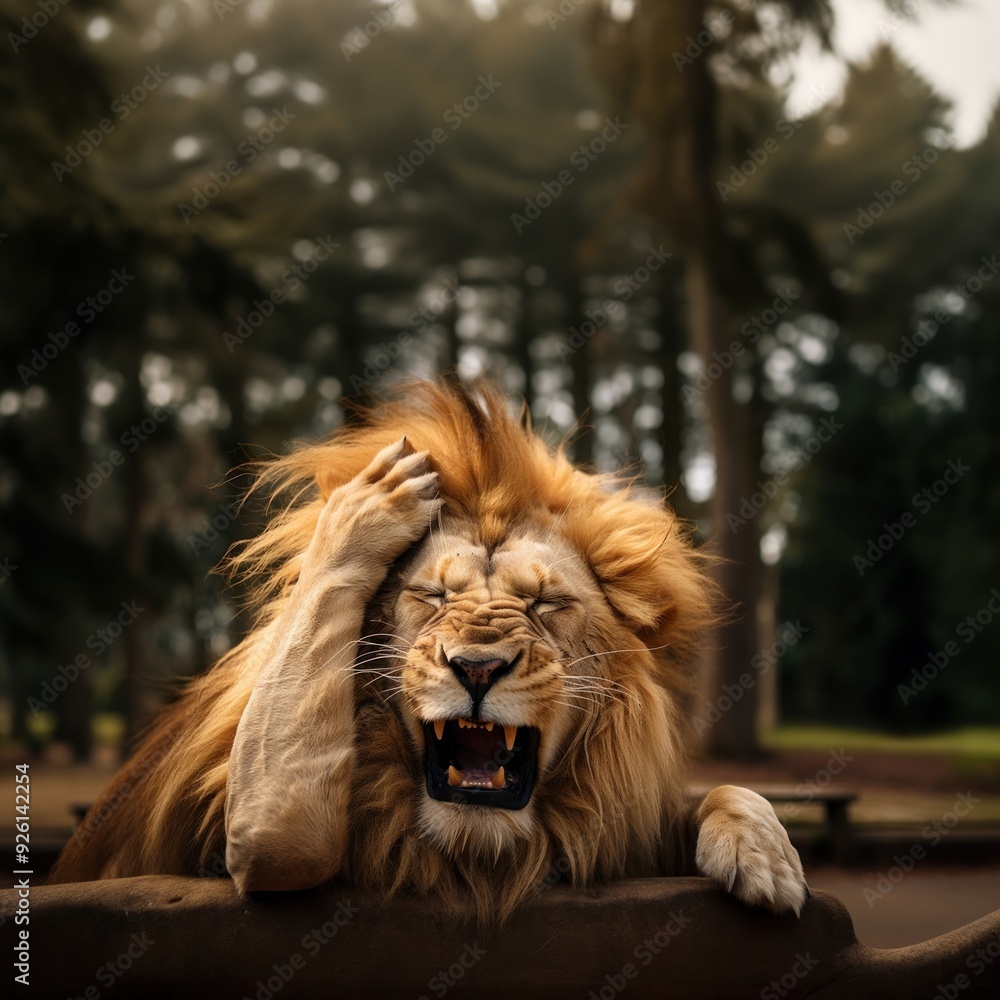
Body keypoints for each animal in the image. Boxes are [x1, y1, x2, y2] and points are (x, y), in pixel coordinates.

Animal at [49, 378, 807, 924]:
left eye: (545, 603)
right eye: (433, 596)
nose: (477, 667)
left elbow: (726, 791)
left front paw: (768, 857)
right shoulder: (269, 829)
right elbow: (286, 842)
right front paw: (369, 508)